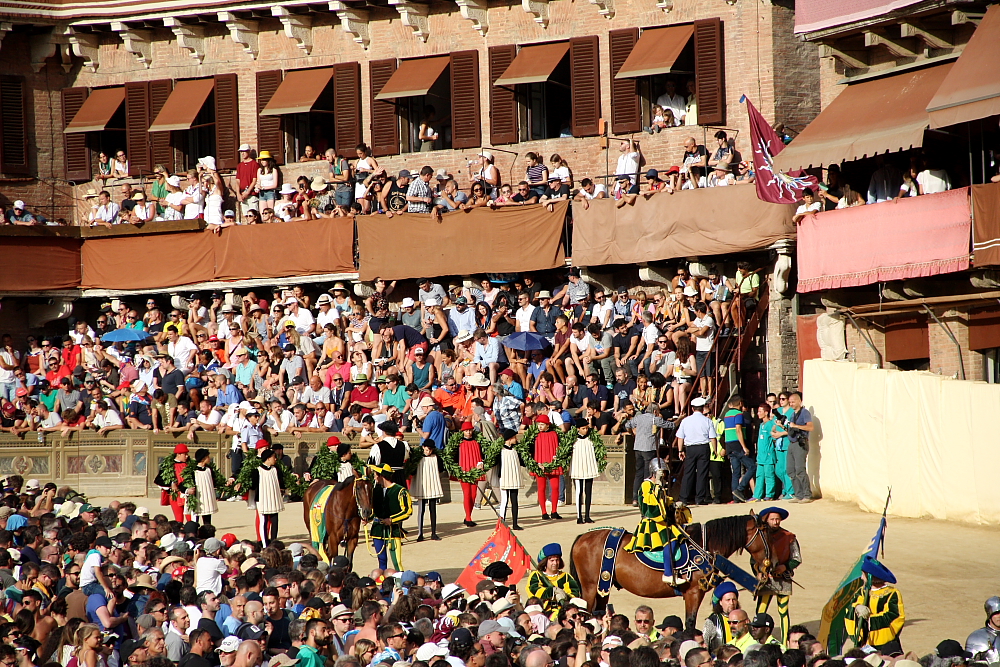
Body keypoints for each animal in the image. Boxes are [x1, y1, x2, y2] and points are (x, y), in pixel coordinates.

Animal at [568, 516, 768, 636]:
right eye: (768, 532)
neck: (703, 544)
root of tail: (582, 537)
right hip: (590, 587)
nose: (767, 563)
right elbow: (690, 622)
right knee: (586, 614)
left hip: (603, 586)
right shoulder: (693, 593)